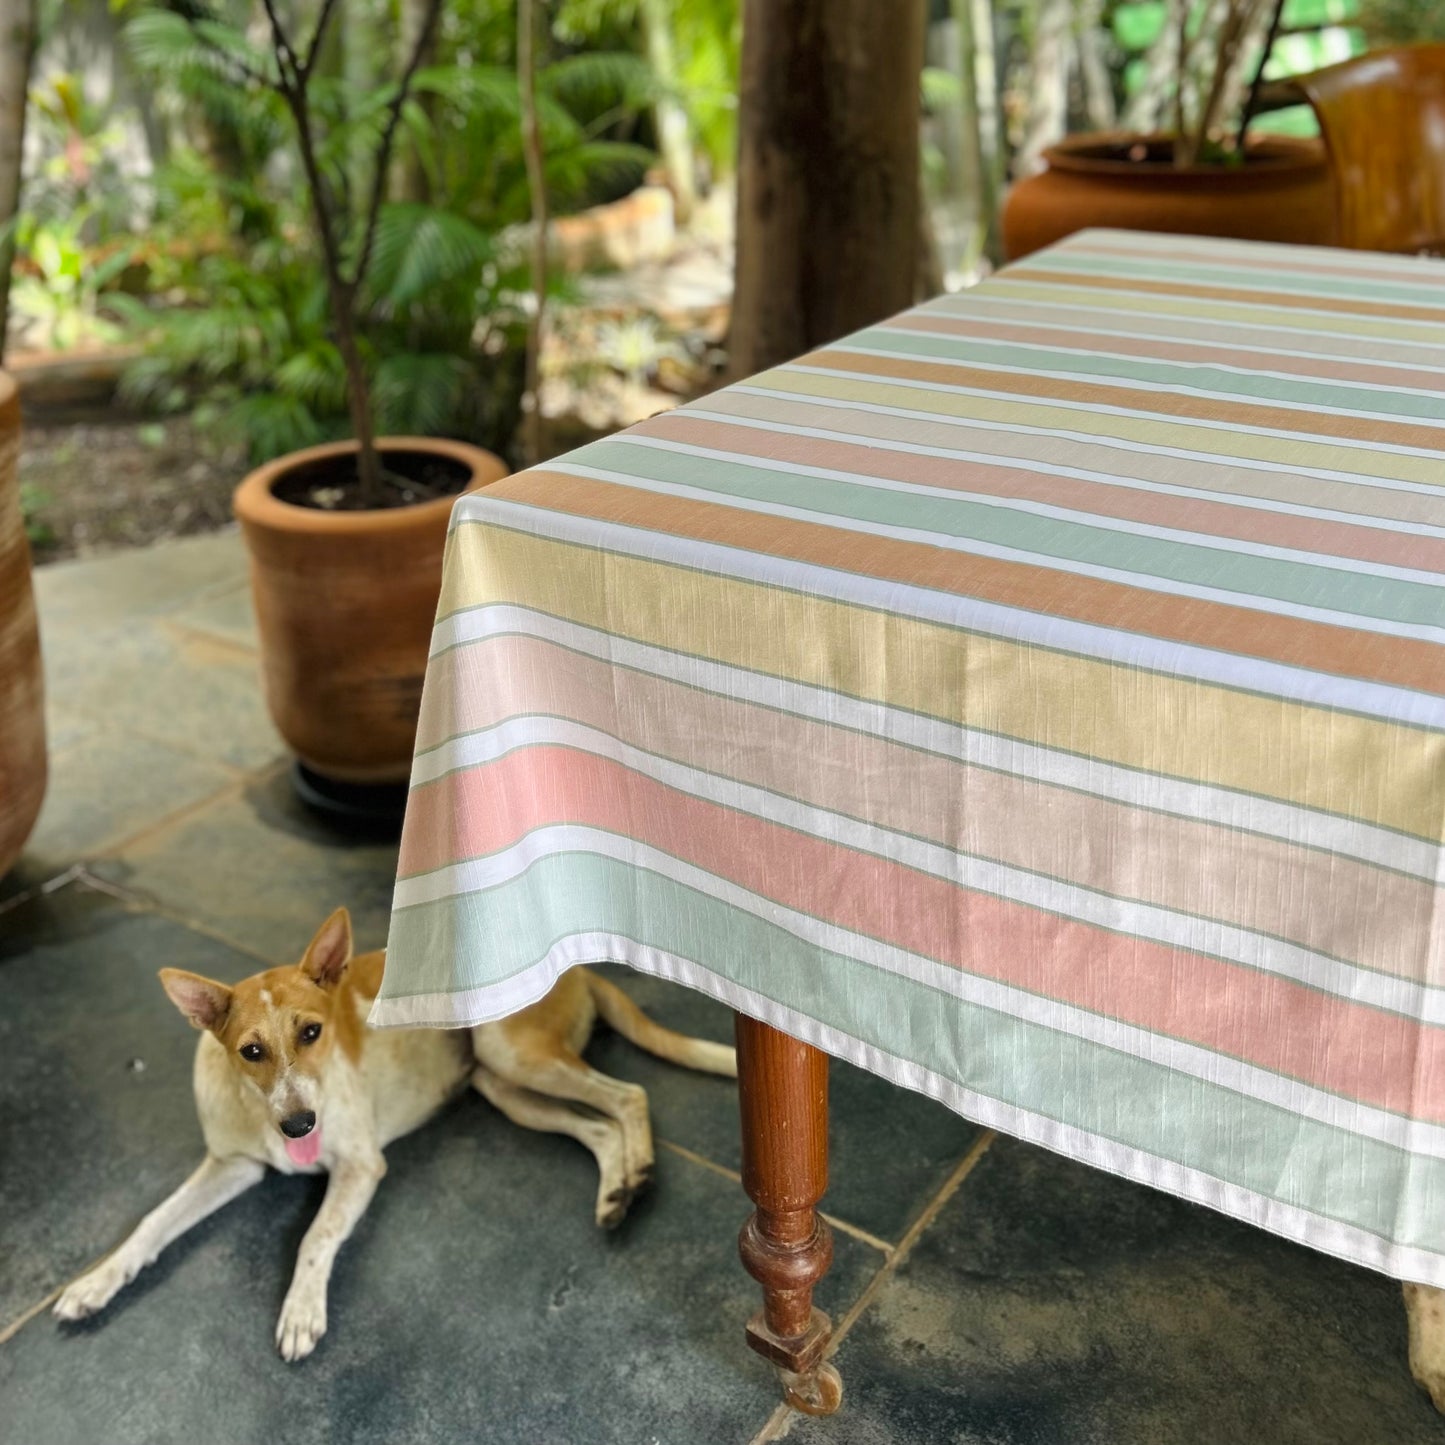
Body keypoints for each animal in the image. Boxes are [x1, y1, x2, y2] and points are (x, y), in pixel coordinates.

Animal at [54, 907, 734, 1358]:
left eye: (312, 1032)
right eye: (250, 1051)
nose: (299, 1125)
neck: (263, 1112)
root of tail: (573, 968)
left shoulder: (360, 1165)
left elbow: (316, 1236)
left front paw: (301, 1308)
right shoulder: (232, 1164)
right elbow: (152, 1223)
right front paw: (95, 1283)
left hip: (515, 1055)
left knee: (630, 1095)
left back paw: (640, 1176)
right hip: (503, 1087)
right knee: (598, 1127)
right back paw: (619, 1189)